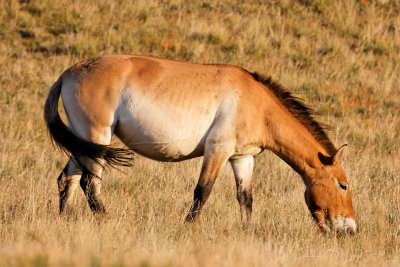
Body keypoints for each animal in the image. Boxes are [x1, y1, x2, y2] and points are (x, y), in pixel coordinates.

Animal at [44, 54, 356, 234]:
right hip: (97, 136)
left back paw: (65, 220)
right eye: (343, 185)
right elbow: (202, 192)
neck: (257, 104)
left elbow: (246, 198)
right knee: (89, 183)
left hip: (83, 141)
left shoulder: (242, 158)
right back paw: (104, 220)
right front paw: (187, 229)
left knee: (67, 179)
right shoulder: (218, 150)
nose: (349, 229)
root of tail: (68, 74)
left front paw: (247, 233)